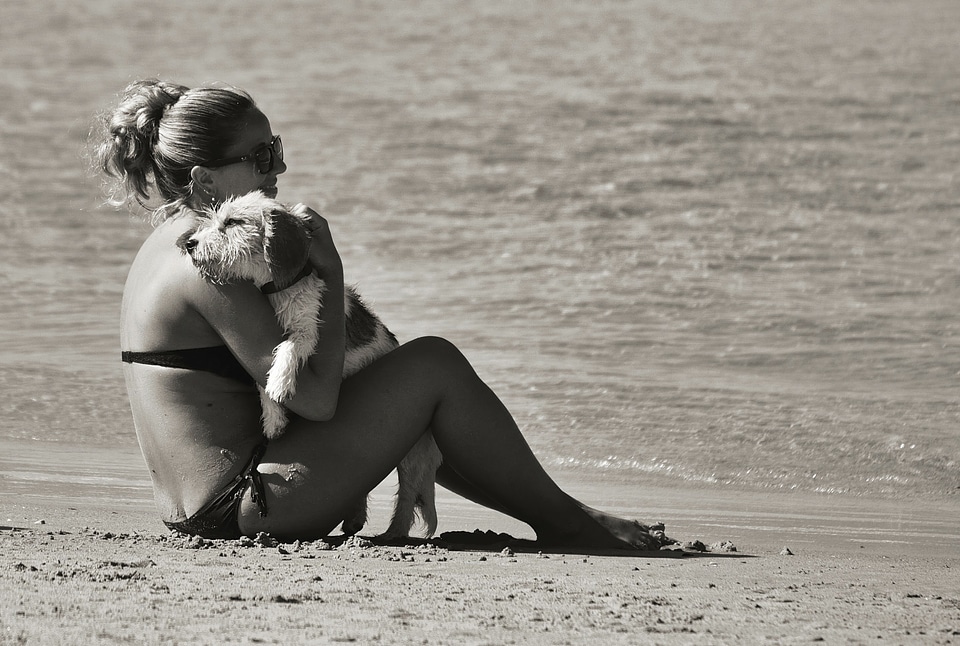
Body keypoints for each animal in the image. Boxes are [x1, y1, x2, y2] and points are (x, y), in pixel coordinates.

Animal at [176, 192, 442, 540]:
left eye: (232, 222)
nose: (189, 243)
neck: (278, 289)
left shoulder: (307, 328)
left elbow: (287, 347)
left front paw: (279, 383)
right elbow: (261, 376)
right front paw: (273, 417)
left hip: (411, 453)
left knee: (407, 493)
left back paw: (393, 532)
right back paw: (356, 518)